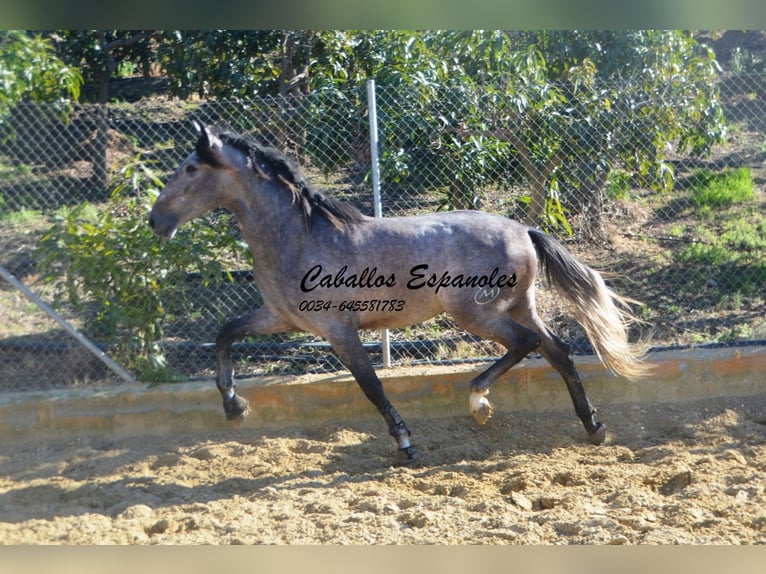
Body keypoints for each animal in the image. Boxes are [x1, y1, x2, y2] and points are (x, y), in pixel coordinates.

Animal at [150, 124, 656, 466]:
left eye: (190, 168)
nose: (155, 221)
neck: (300, 237)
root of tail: (524, 231)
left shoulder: (337, 329)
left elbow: (371, 386)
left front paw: (405, 444)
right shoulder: (282, 318)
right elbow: (225, 333)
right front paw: (234, 408)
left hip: (477, 314)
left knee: (527, 345)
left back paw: (479, 402)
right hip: (519, 305)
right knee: (558, 350)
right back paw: (593, 427)